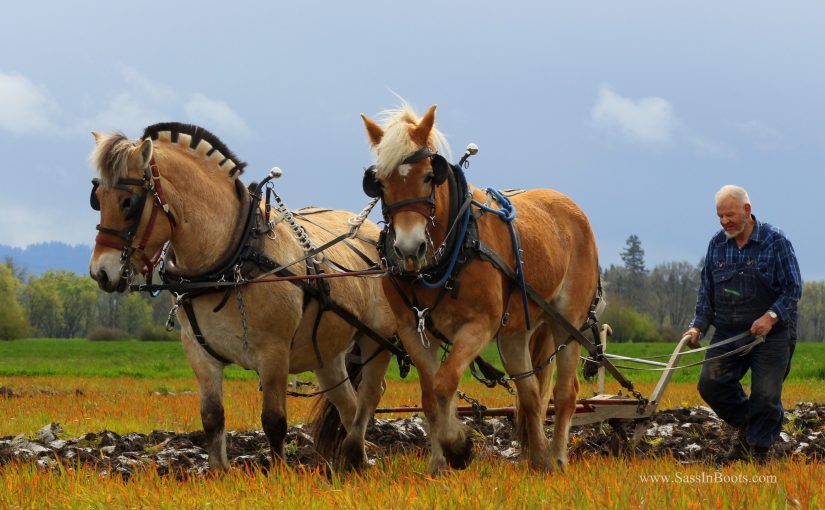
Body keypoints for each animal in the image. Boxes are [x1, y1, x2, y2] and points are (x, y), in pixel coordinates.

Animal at [89, 122, 396, 470]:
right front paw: (220, 474)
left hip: (377, 338)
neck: (231, 257)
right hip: (327, 352)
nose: (100, 273)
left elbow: (274, 421)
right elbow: (212, 418)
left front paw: (280, 475)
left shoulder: (274, 353)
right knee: (347, 403)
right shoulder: (199, 351)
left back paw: (356, 451)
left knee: (371, 394)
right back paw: (352, 462)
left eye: (128, 203)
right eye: (97, 198)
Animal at [360, 104, 600, 474]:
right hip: (515, 333)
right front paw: (438, 464)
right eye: (380, 183)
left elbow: (445, 383)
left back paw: (558, 458)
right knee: (530, 393)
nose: (409, 249)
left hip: (568, 321)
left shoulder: (478, 326)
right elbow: (429, 395)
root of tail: (573, 210)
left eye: (429, 176)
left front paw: (458, 446)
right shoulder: (413, 329)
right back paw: (539, 458)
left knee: (565, 393)